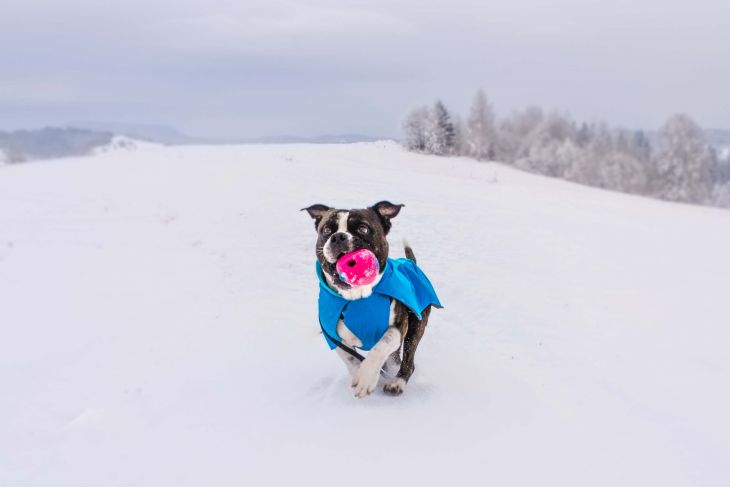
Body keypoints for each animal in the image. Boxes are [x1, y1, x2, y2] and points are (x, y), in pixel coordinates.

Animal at [300, 200, 438, 398]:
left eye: (363, 229)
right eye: (327, 230)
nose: (338, 237)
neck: (357, 298)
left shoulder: (399, 327)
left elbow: (381, 345)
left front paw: (366, 378)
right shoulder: (332, 334)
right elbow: (349, 357)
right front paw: (360, 373)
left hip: (415, 327)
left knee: (408, 360)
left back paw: (397, 382)